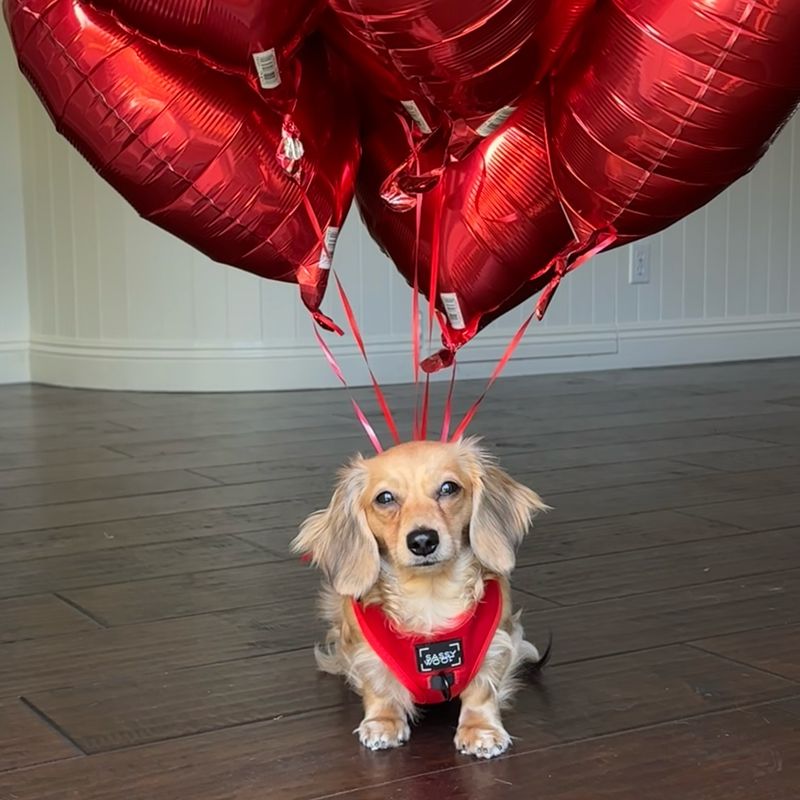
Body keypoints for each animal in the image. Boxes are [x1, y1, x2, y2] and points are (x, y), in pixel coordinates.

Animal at [294, 438, 552, 756]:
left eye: (448, 488)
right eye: (385, 498)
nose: (422, 540)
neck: (430, 598)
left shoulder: (495, 642)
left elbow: (482, 690)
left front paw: (481, 729)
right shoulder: (366, 650)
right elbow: (378, 685)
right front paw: (383, 721)